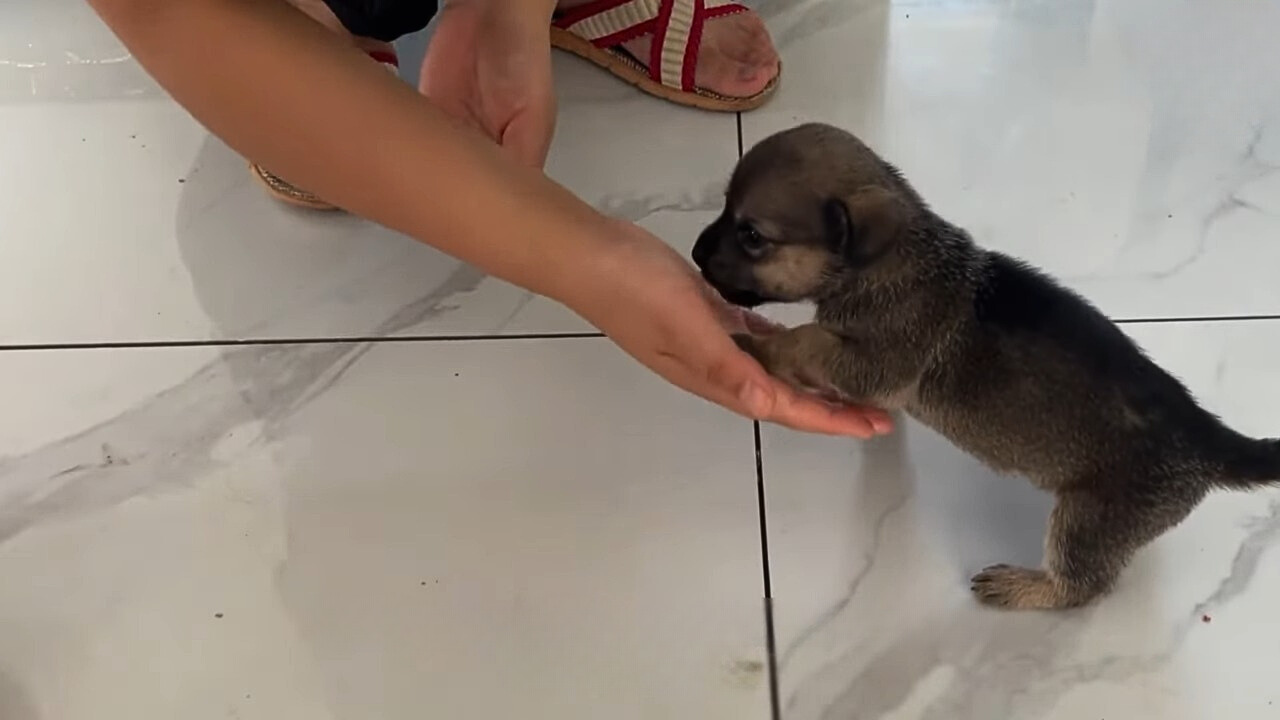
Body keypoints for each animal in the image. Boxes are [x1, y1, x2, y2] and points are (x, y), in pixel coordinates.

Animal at [696, 120, 1280, 607]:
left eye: (752, 236)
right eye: (723, 208)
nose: (697, 253)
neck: (891, 260)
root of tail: (1209, 441)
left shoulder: (879, 361)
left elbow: (808, 340)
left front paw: (754, 345)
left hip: (1089, 519)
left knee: (1082, 585)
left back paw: (1025, 587)